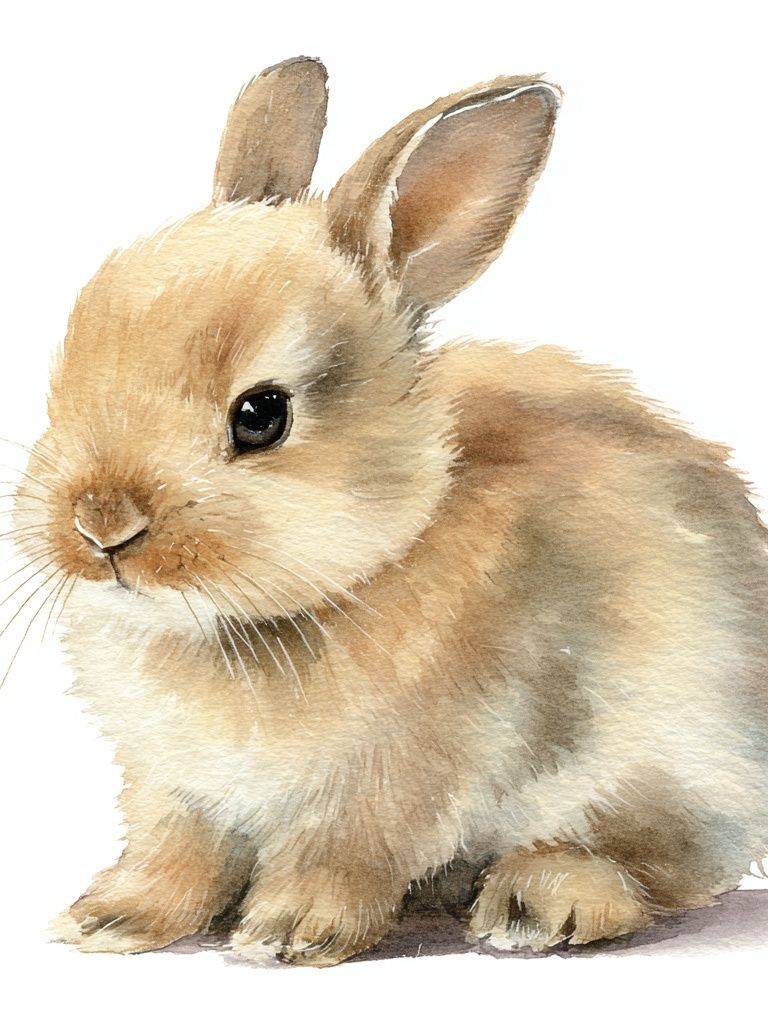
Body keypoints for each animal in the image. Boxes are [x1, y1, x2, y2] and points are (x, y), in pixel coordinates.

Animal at [11, 55, 768, 967]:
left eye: (260, 415)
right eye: (71, 362)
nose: (99, 524)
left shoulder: (401, 775)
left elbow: (343, 852)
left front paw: (289, 933)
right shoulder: (175, 787)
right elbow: (175, 852)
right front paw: (112, 920)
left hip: (678, 763)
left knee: (655, 867)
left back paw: (540, 902)